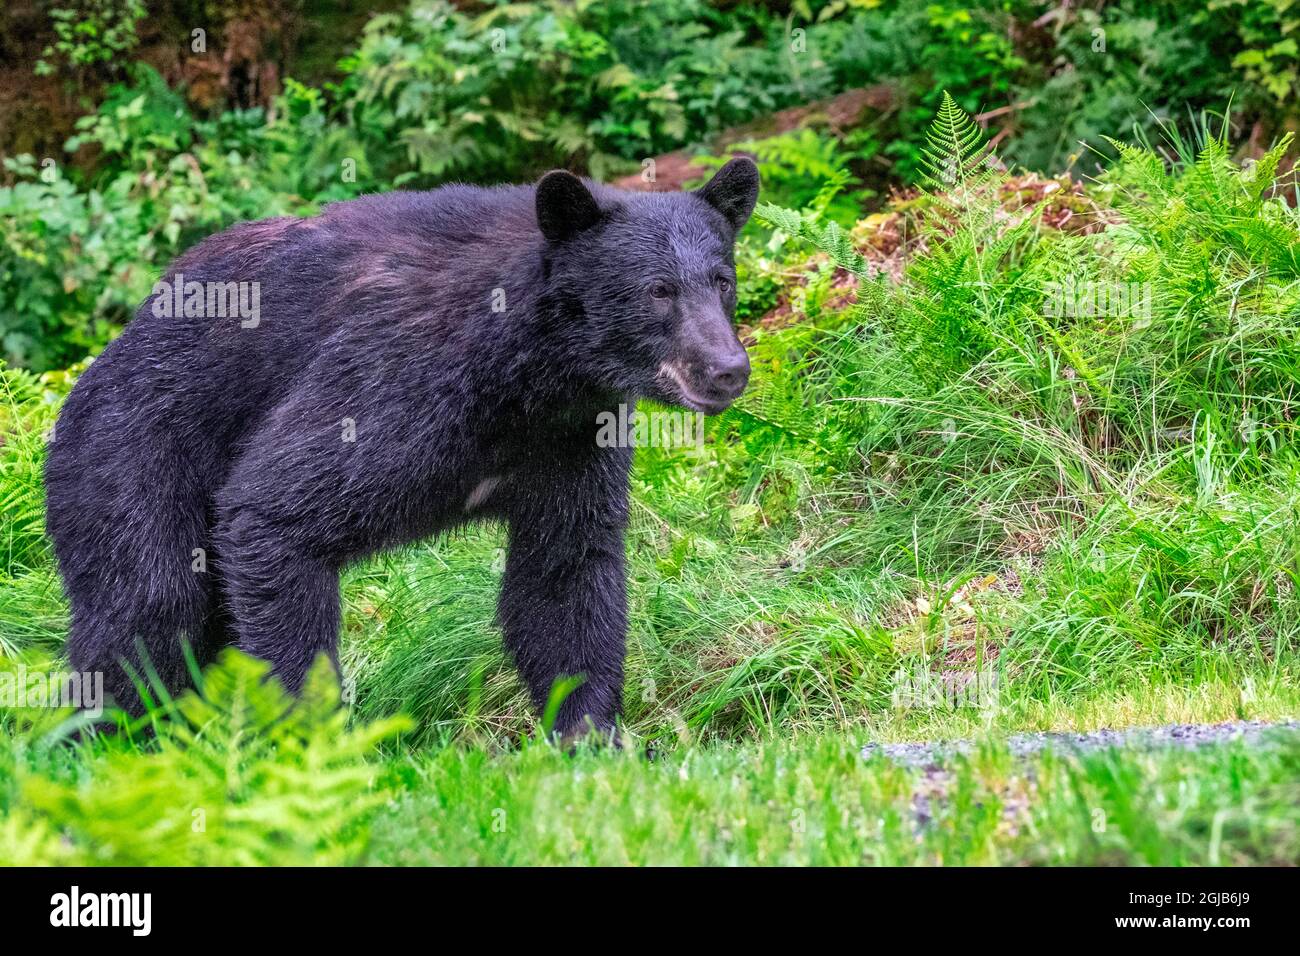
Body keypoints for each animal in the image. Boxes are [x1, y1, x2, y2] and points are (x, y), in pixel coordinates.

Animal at [43, 157, 760, 739]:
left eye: (722, 279)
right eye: (657, 289)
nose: (727, 369)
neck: (531, 372)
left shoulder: (572, 439)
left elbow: (565, 573)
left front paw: (589, 734)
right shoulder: (396, 380)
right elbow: (276, 509)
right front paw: (309, 740)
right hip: (132, 453)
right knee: (148, 608)